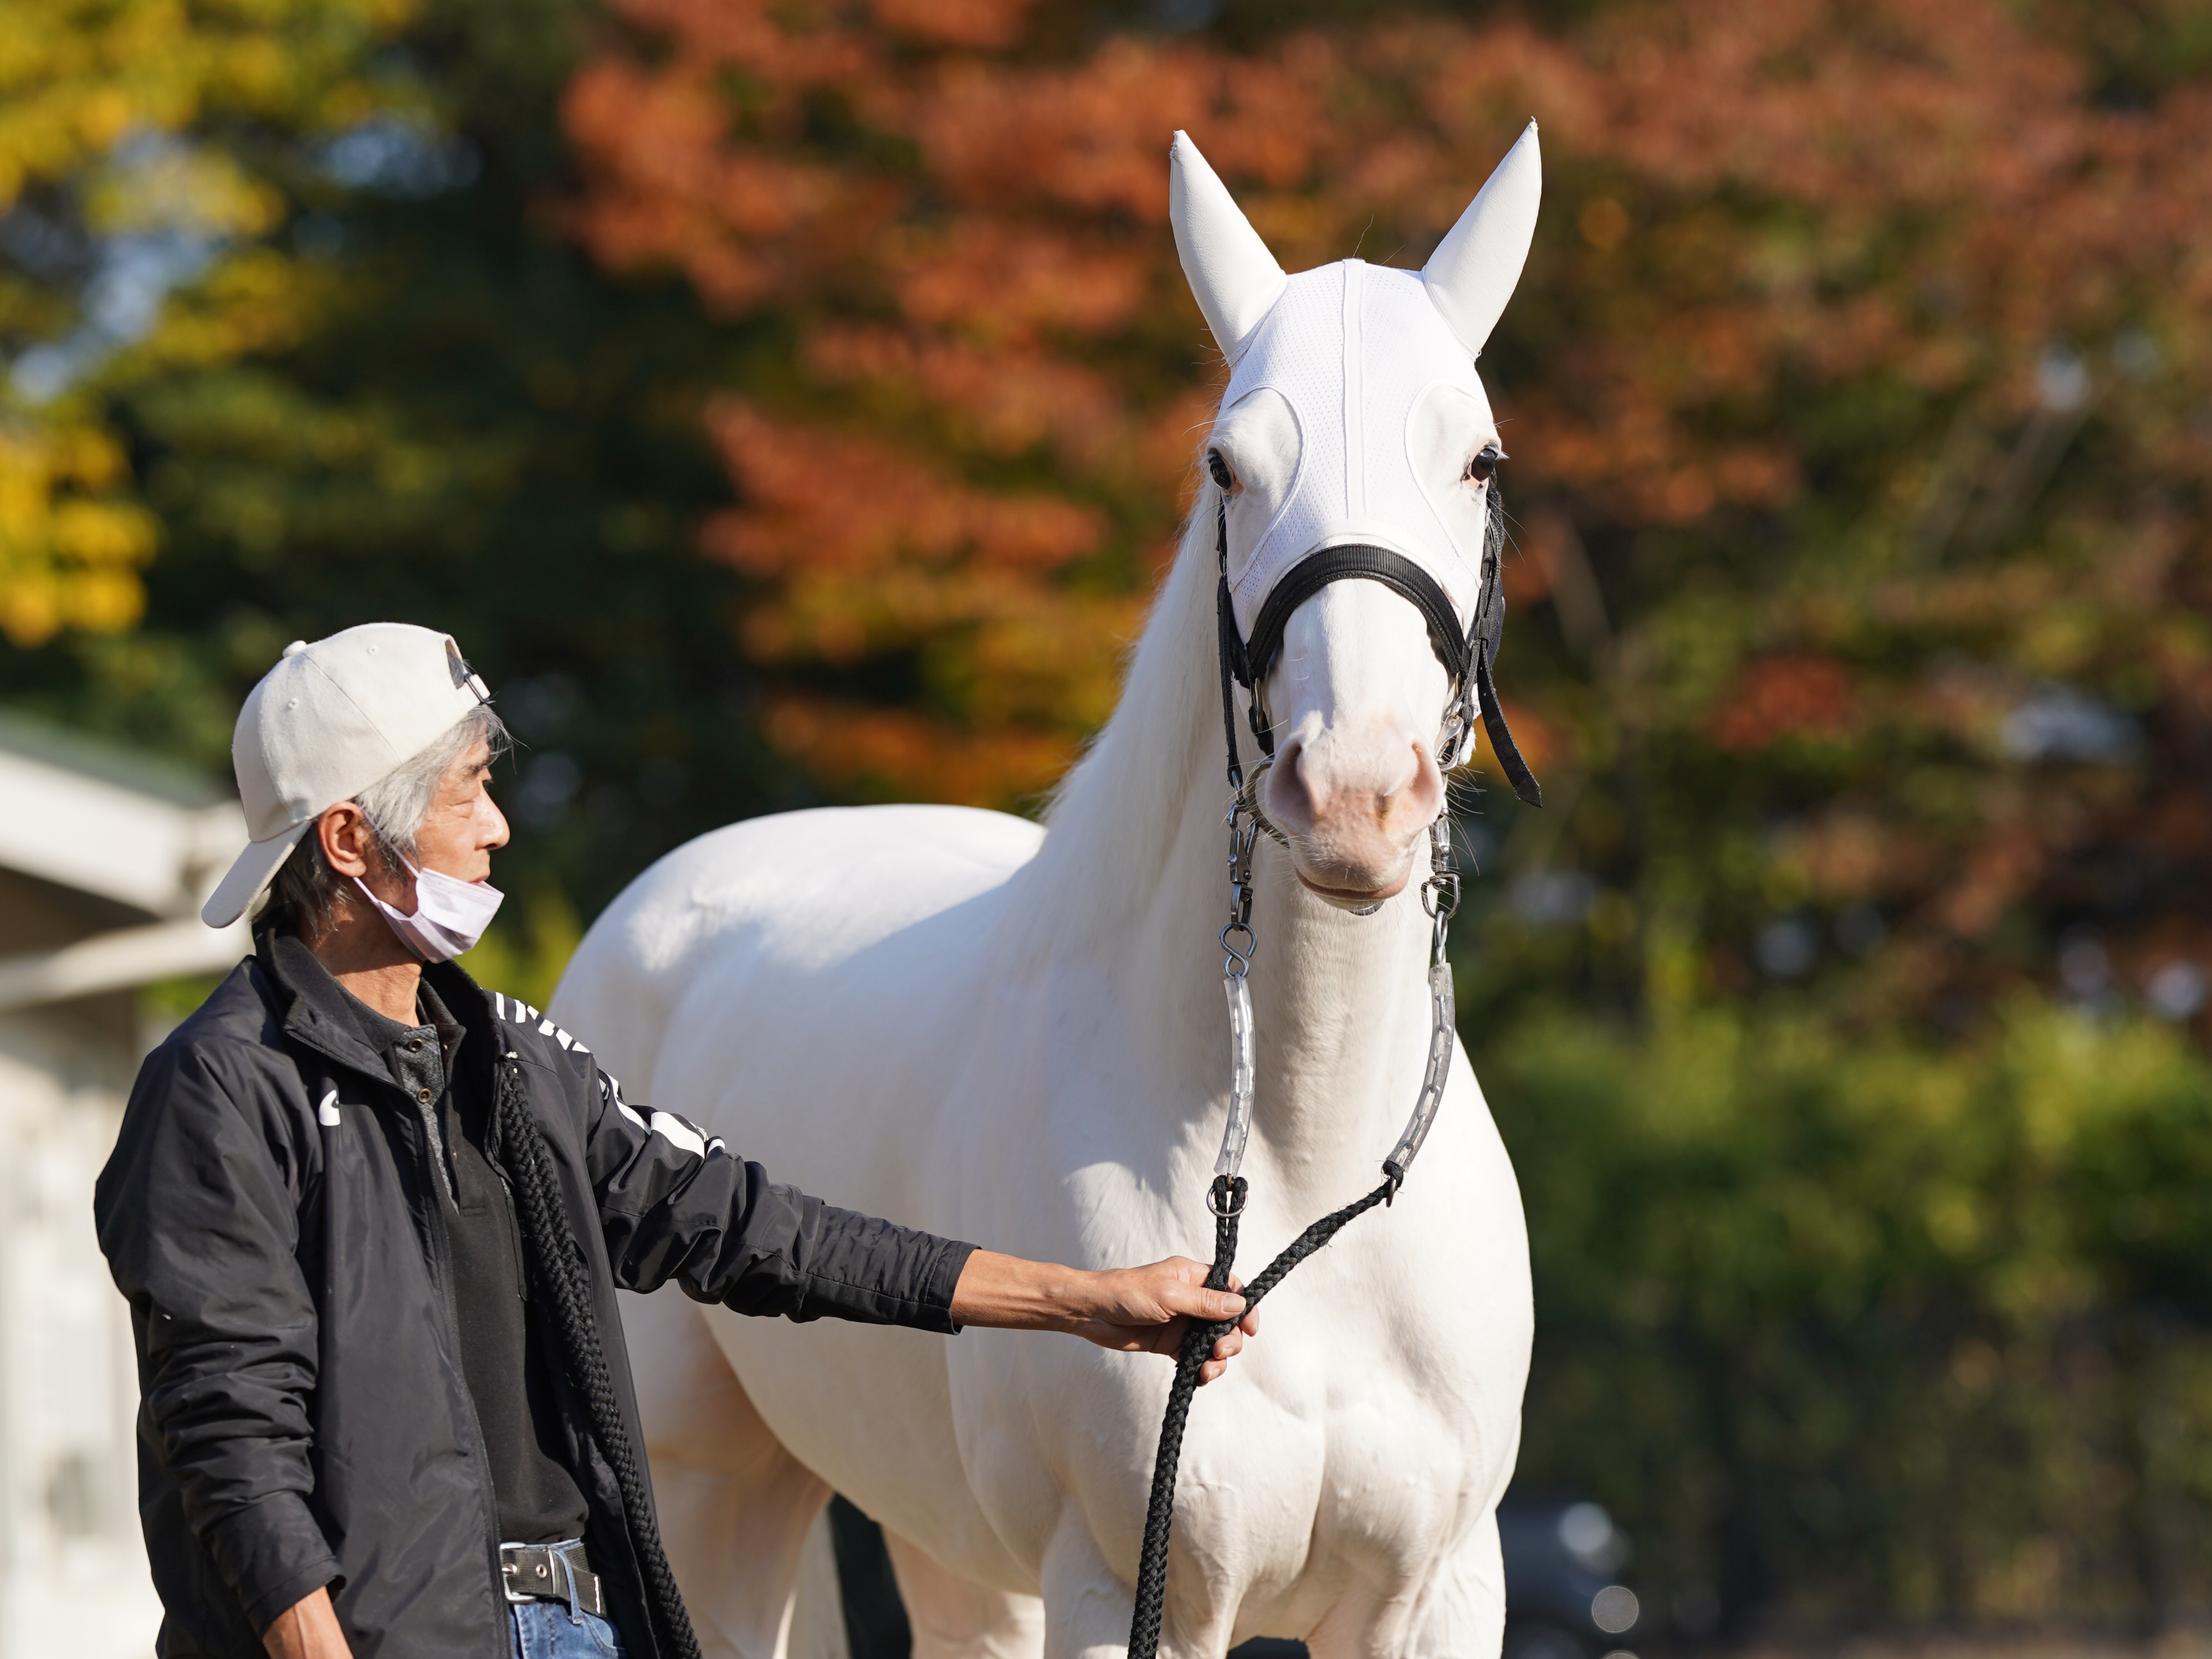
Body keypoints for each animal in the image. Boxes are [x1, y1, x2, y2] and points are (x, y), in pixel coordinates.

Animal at [557, 126, 1539, 1659]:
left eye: (1478, 458)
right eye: (1225, 464)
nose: (1356, 795)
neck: (1298, 1180)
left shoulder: (1432, 1594)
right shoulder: (1125, 1587)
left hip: (945, 1544)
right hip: (716, 1493)